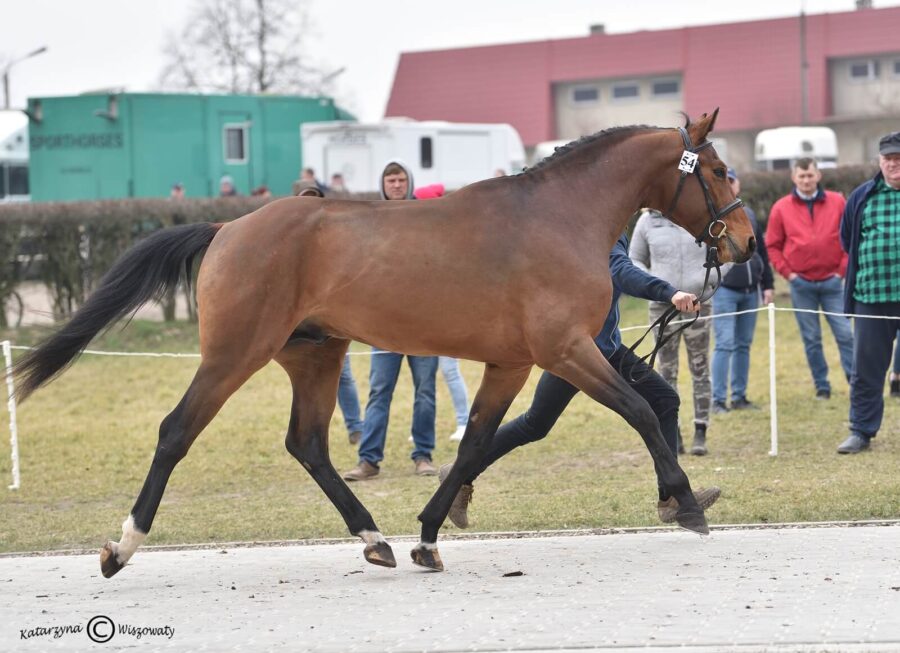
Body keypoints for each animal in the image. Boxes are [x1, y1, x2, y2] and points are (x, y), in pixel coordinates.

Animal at [15, 108, 752, 576]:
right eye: (718, 170)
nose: (745, 241)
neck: (557, 215)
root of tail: (227, 230)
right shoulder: (566, 349)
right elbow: (639, 410)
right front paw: (686, 502)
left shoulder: (512, 363)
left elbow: (476, 443)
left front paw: (428, 534)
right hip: (234, 354)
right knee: (176, 431)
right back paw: (121, 547)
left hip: (316, 354)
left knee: (308, 444)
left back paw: (375, 538)